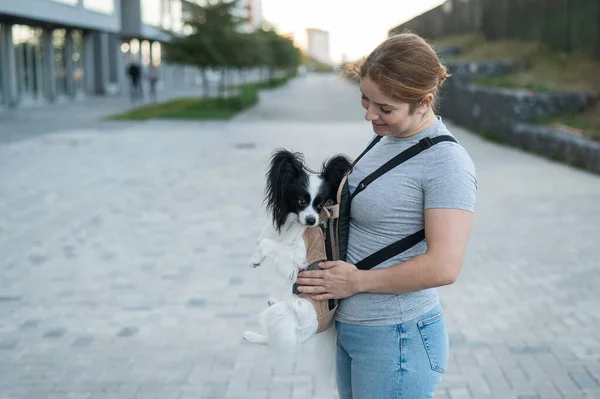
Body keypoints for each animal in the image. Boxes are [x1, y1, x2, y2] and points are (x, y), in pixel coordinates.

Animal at [243, 149, 354, 354]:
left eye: (320, 205)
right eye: (302, 201)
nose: (311, 220)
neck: (297, 224)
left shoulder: (295, 258)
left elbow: (267, 244)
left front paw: (256, 258)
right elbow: (265, 237)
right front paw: (256, 255)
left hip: (287, 315)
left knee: (276, 338)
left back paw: (251, 334)